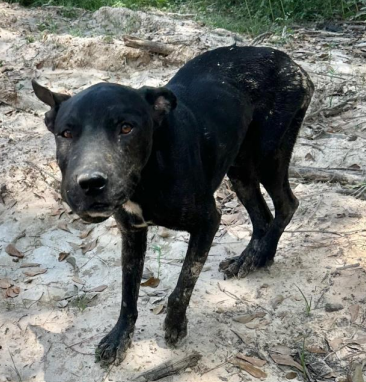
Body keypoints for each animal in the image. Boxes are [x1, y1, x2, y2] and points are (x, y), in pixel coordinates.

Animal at [32, 46, 312, 366]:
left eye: (126, 128)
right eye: (66, 133)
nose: (90, 183)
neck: (148, 174)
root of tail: (292, 63)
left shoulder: (208, 222)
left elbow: (184, 284)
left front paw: (175, 325)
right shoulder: (132, 233)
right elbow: (128, 292)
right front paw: (120, 337)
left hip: (268, 155)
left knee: (287, 204)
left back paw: (263, 254)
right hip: (240, 168)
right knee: (262, 216)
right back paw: (251, 259)